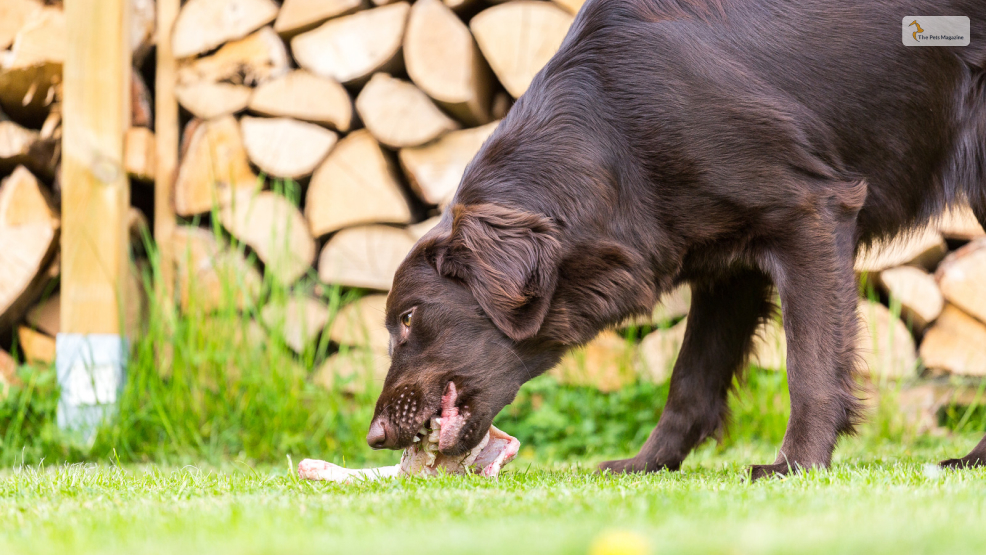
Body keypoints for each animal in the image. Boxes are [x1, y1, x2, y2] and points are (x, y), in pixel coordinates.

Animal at [366, 0, 984, 478]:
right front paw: (646, 465)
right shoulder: (729, 266)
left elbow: (810, 366)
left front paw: (796, 465)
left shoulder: (811, 212)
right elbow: (690, 380)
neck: (614, 132)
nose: (374, 436)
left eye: (408, 317)